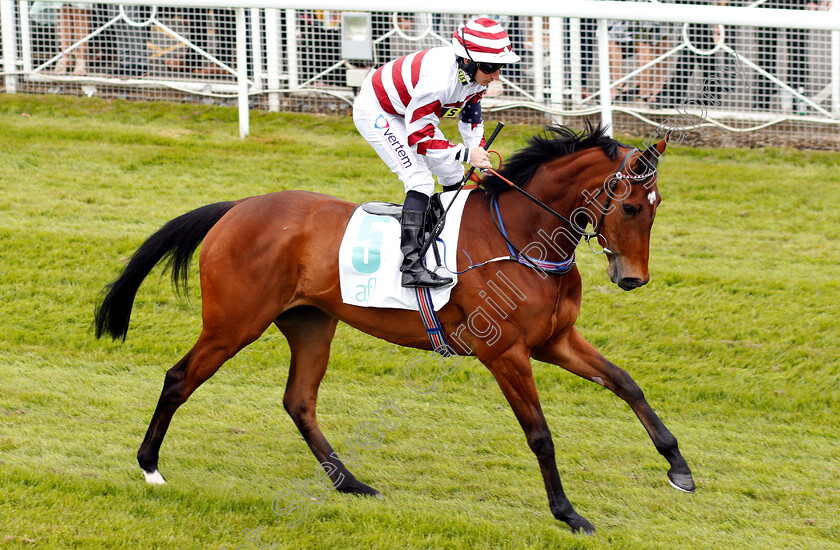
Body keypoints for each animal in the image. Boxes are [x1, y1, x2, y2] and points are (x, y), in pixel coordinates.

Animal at [95, 125, 692, 536]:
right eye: (631, 207)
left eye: (657, 206)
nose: (633, 278)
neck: (523, 236)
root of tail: (237, 208)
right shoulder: (506, 352)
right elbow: (540, 433)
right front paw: (568, 513)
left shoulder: (554, 341)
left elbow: (626, 383)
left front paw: (678, 468)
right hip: (233, 322)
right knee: (179, 379)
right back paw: (150, 468)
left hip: (311, 324)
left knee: (299, 401)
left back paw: (350, 483)